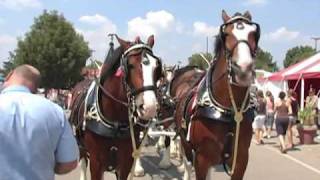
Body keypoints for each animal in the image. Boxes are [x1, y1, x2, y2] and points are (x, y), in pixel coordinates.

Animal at [69, 34, 162, 179]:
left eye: (157, 67)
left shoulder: (125, 163)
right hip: (81, 147)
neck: (115, 124)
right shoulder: (96, 164)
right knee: (83, 162)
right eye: (130, 65)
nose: (149, 107)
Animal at [175, 10, 260, 179]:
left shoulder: (240, 160)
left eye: (254, 33)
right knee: (187, 163)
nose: (243, 70)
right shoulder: (201, 159)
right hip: (184, 141)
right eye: (226, 34)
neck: (228, 112)